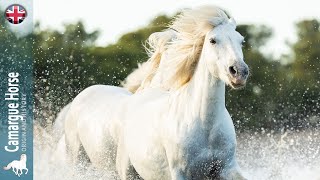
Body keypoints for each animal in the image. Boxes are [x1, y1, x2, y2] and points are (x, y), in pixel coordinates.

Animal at [61, 4, 249, 179]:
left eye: (241, 41)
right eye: (212, 40)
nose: (239, 72)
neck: (205, 125)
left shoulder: (227, 169)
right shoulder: (179, 172)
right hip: (94, 164)